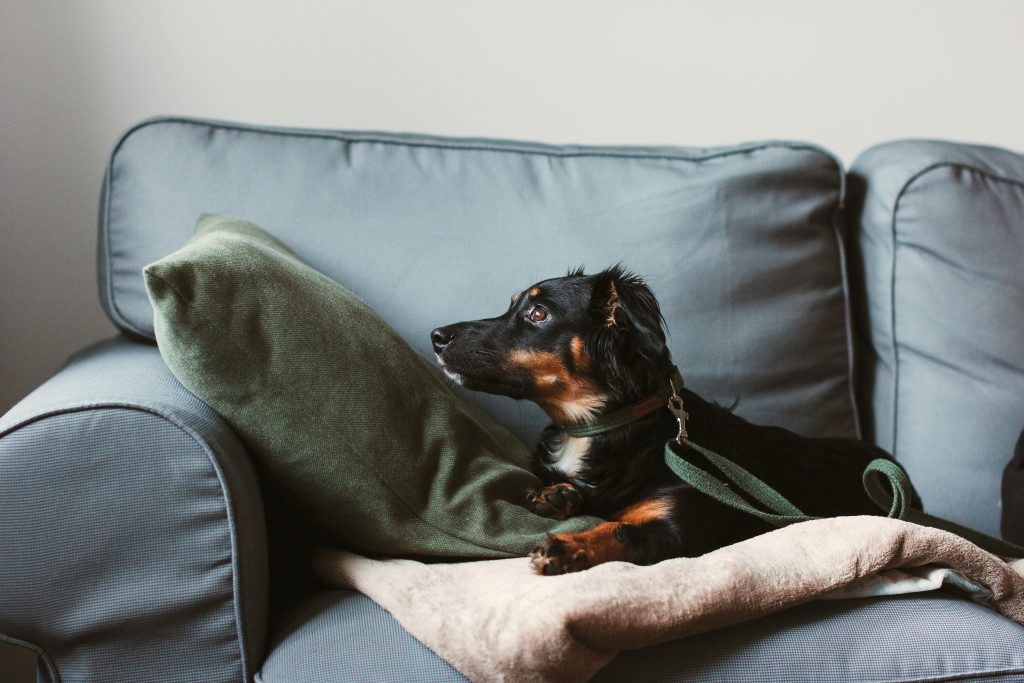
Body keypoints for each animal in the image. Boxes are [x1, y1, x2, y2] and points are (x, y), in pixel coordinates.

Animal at [428, 264, 917, 573]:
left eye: (537, 313)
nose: (436, 336)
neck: (598, 428)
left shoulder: (676, 532)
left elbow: (619, 530)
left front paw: (569, 545)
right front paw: (559, 495)